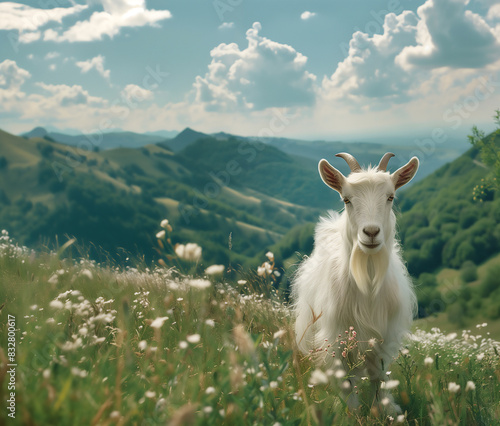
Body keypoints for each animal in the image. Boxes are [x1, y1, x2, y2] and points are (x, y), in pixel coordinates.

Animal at [292, 151, 418, 412]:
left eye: (390, 197)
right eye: (346, 199)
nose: (370, 232)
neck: (367, 284)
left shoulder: (383, 336)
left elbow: (379, 374)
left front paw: (386, 409)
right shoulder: (337, 337)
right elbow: (346, 380)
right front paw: (350, 411)